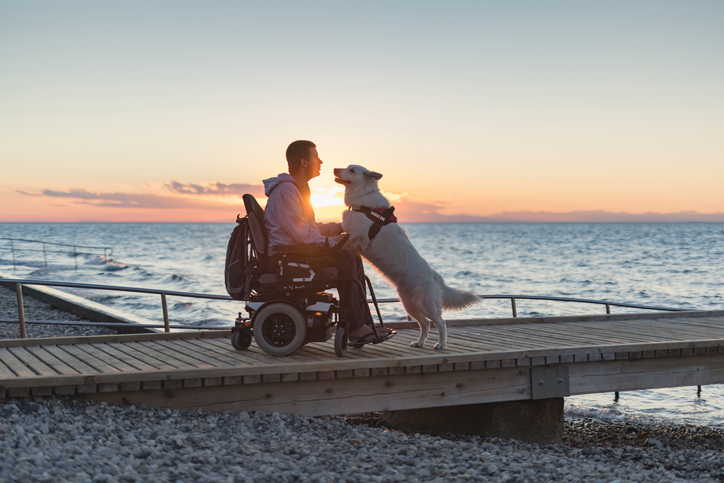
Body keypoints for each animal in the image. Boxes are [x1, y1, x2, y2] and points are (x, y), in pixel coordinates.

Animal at [336, 164, 480, 350]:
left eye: (352, 170)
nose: (334, 169)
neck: (364, 200)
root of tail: (436, 277)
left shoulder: (357, 237)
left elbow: (342, 240)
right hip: (409, 304)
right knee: (425, 324)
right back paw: (419, 342)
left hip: (425, 305)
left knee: (440, 322)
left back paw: (441, 344)